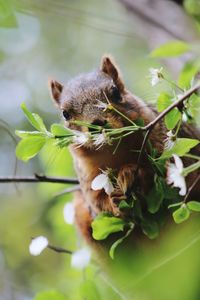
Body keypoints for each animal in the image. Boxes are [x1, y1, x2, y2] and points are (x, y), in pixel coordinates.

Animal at [49, 55, 200, 244]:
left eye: (115, 93)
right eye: (65, 114)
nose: (96, 124)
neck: (114, 151)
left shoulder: (163, 140)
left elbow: (171, 171)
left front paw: (131, 174)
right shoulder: (87, 176)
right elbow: (98, 203)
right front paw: (114, 201)